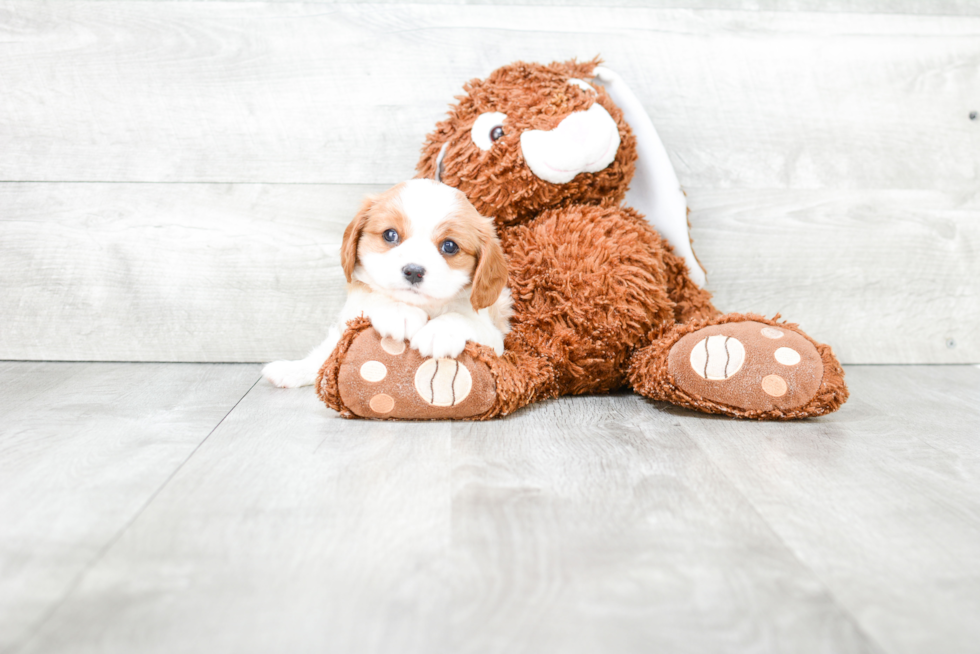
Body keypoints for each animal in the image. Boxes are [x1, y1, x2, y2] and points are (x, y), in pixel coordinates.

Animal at [260, 179, 512, 386]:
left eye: (449, 246)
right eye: (390, 235)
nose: (413, 271)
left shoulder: (494, 337)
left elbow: (462, 318)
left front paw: (439, 331)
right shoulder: (351, 311)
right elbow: (373, 295)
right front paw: (399, 312)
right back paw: (290, 371)